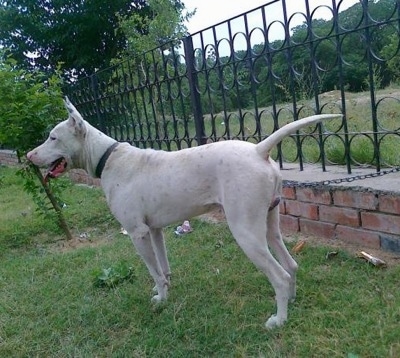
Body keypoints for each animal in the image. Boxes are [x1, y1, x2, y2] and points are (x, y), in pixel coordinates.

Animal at [27, 97, 340, 328]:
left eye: (52, 137)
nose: (29, 156)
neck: (108, 158)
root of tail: (258, 151)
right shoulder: (154, 231)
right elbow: (163, 268)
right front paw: (164, 292)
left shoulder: (137, 234)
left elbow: (153, 271)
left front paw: (160, 301)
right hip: (269, 224)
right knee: (291, 265)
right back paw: (292, 300)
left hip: (245, 232)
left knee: (279, 275)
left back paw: (279, 320)